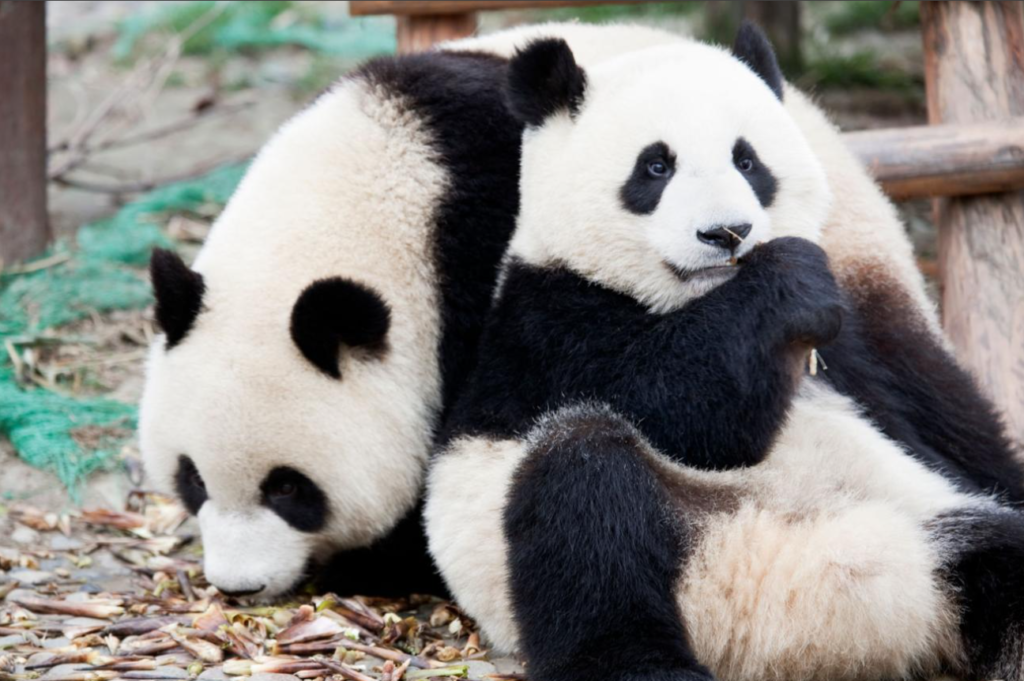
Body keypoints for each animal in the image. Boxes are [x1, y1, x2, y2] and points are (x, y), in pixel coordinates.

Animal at [425, 24, 1024, 681]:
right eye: (655, 166)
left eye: (747, 160)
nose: (725, 233)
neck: (705, 296)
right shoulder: (551, 324)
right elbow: (688, 411)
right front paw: (790, 283)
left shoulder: (853, 358)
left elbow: (920, 417)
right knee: (582, 490)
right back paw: (641, 663)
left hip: (929, 517)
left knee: (995, 555)